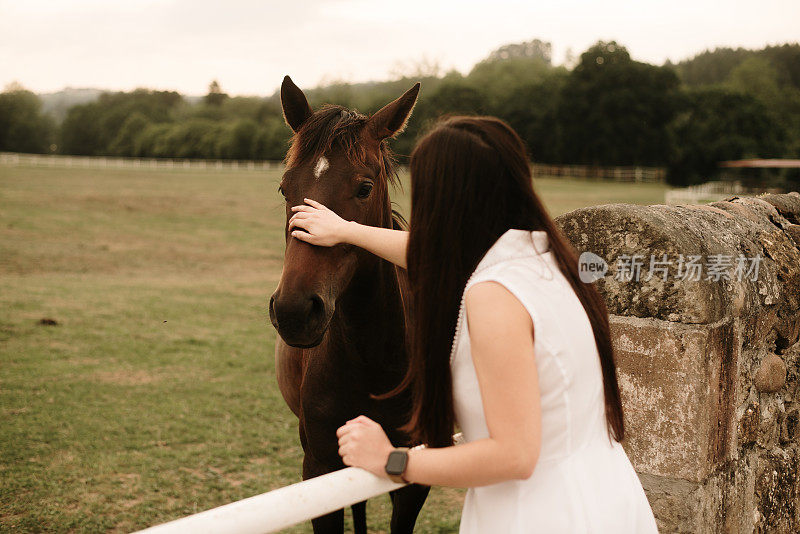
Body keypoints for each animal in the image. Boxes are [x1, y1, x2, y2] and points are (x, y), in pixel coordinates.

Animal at [268, 76, 432, 534]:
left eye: (364, 188)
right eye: (285, 188)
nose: (294, 311)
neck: (375, 363)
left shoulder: (412, 478)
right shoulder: (319, 472)